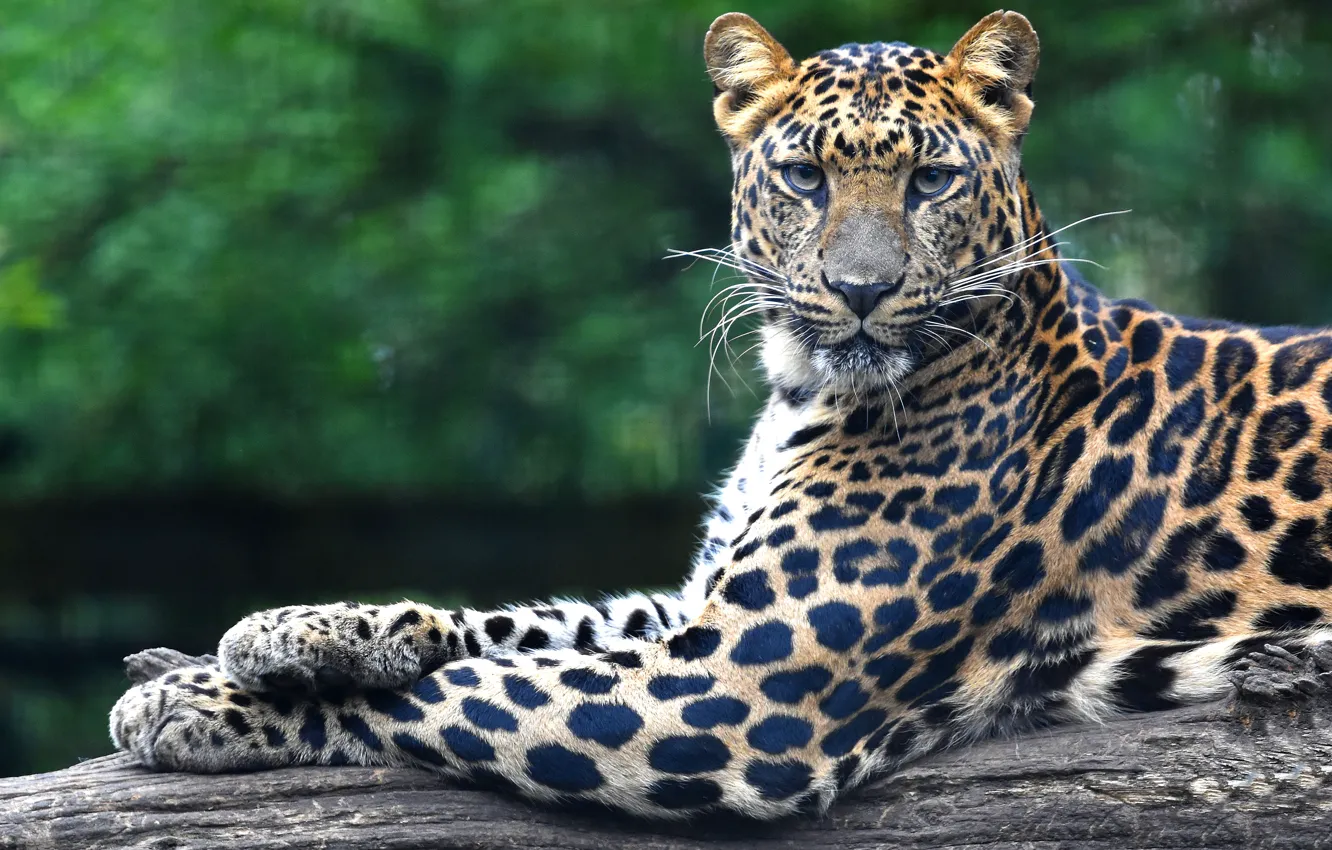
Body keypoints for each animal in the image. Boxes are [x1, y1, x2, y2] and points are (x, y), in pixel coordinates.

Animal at [110, 10, 1332, 820]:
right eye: (802, 178)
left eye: (932, 183)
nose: (861, 290)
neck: (805, 390)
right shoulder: (694, 611)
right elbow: (517, 623)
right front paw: (288, 633)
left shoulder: (735, 687)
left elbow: (463, 687)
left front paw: (192, 701)